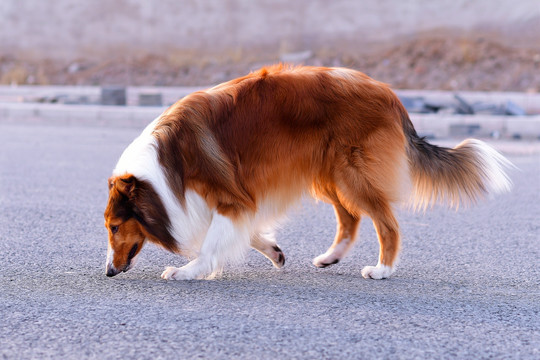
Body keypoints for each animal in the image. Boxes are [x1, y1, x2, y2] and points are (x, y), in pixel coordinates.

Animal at [103, 64, 512, 280]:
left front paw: (188, 271)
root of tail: (391, 96)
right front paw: (273, 252)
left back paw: (381, 269)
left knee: (386, 223)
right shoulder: (233, 200)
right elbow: (241, 232)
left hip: (351, 173)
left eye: (114, 227)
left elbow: (212, 240)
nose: (108, 271)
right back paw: (331, 257)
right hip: (327, 174)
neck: (164, 167)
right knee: (350, 218)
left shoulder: (230, 196)